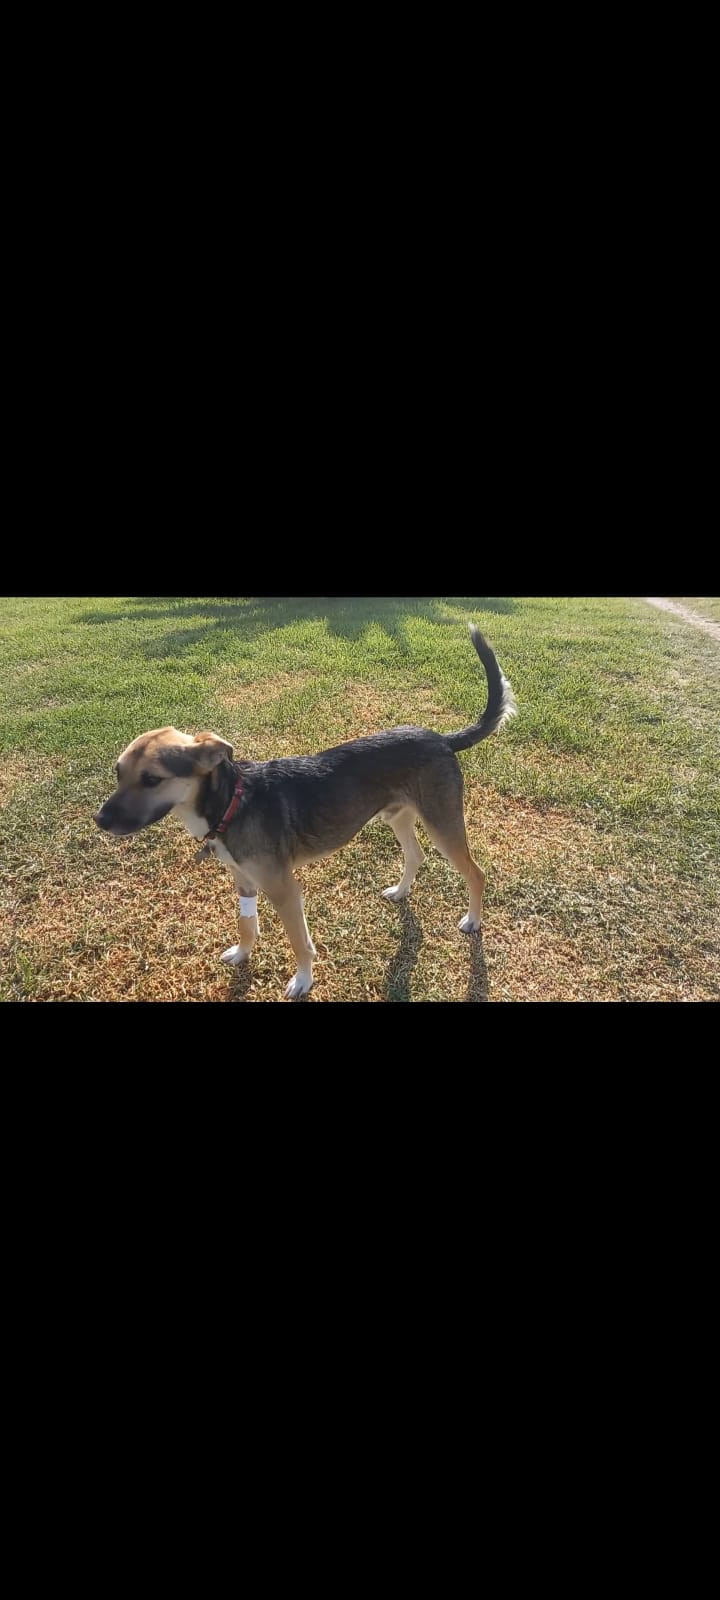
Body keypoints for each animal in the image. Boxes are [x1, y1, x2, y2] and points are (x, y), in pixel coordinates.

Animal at [94, 625, 516, 998]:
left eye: (152, 779)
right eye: (118, 772)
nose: (100, 820)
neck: (231, 803)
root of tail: (442, 739)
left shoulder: (284, 890)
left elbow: (300, 942)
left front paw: (303, 981)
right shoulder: (243, 880)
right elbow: (247, 924)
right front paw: (243, 954)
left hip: (443, 823)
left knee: (476, 873)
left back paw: (473, 920)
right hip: (398, 817)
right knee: (416, 855)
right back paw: (400, 891)